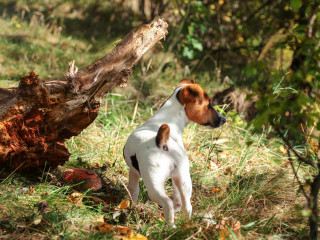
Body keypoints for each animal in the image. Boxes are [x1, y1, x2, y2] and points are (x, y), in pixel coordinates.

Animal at [122, 79, 225, 224]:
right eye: (208, 105)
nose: (224, 119)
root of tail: (163, 144)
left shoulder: (133, 172)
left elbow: (133, 190)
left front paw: (132, 207)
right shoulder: (176, 176)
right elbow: (177, 196)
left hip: (153, 182)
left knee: (167, 203)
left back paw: (169, 225)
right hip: (184, 179)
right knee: (187, 205)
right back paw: (185, 223)